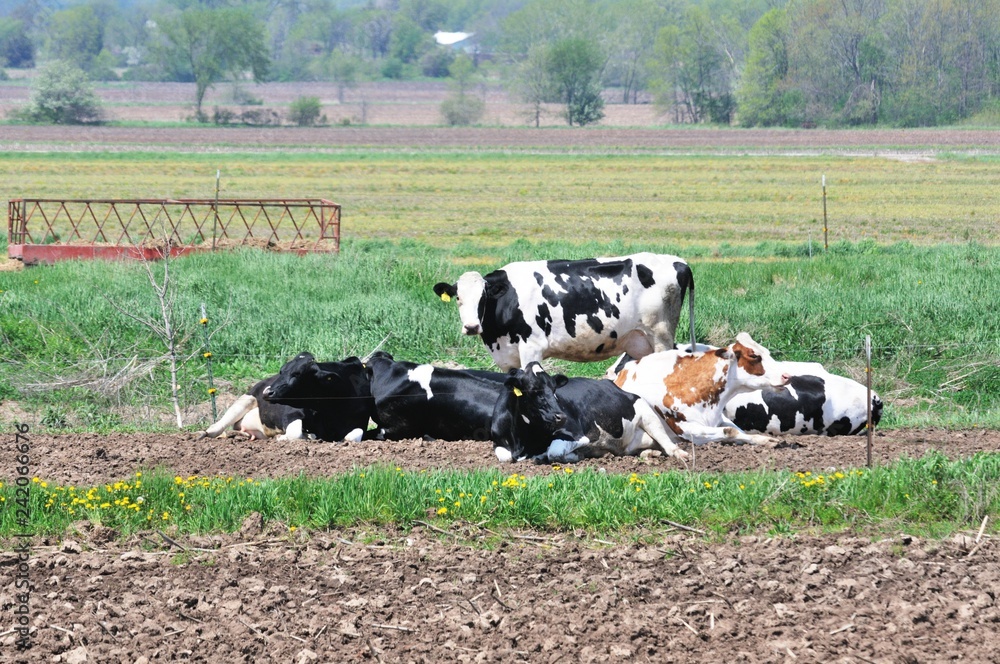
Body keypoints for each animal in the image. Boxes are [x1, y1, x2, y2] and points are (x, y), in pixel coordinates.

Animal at [433, 253, 695, 371]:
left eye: (483, 298)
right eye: (458, 298)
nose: (471, 327)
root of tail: (679, 262)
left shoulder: (531, 348)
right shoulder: (506, 359)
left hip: (661, 335)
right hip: (639, 341)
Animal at [491, 362, 690, 464]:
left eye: (554, 389)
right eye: (534, 390)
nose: (561, 416)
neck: (524, 441)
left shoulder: (583, 434)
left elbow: (554, 452)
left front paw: (572, 456)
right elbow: (505, 457)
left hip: (646, 412)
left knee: (667, 442)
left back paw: (679, 454)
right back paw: (649, 453)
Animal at [608, 333, 790, 446]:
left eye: (767, 352)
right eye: (753, 355)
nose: (787, 375)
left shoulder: (720, 418)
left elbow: (739, 430)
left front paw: (763, 440)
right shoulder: (687, 429)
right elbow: (730, 431)